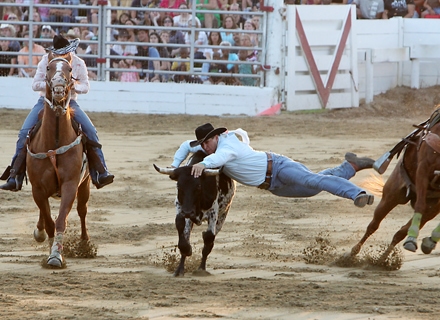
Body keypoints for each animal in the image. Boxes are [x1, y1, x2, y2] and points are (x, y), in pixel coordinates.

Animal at [26, 53, 90, 268]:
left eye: (69, 69)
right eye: (48, 68)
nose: (59, 88)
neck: (53, 142)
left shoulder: (70, 185)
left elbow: (61, 220)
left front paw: (56, 255)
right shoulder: (37, 188)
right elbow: (49, 221)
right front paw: (51, 249)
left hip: (85, 184)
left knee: (82, 210)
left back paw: (85, 244)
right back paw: (39, 231)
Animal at [348, 109, 440, 262]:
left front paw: (426, 242)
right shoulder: (423, 169)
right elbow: (420, 205)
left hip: (431, 209)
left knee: (400, 232)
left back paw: (383, 259)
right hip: (391, 196)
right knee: (373, 225)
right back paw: (353, 253)